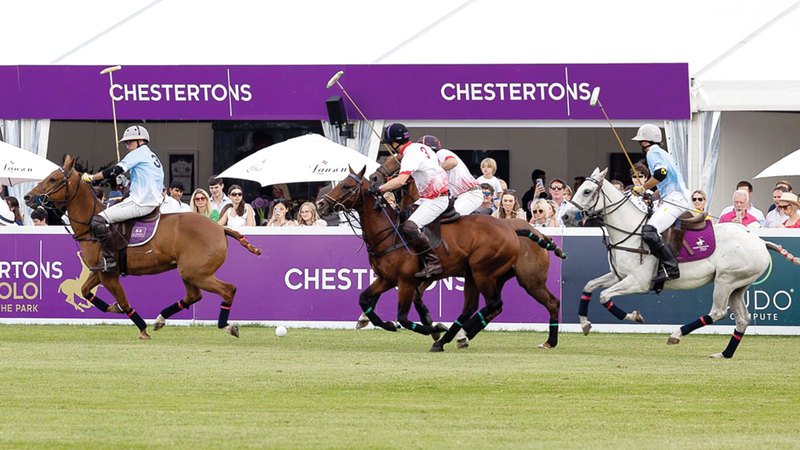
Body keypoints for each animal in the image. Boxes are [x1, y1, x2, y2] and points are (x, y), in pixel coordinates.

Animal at [24, 155, 262, 339]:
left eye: (53, 179)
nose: (27, 197)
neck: (91, 224)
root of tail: (220, 229)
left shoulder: (109, 275)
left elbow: (124, 301)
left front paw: (141, 328)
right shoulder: (100, 271)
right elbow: (84, 291)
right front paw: (112, 308)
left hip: (197, 272)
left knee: (228, 289)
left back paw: (226, 325)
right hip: (190, 272)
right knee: (194, 296)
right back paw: (160, 319)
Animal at [317, 165, 564, 352]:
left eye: (347, 186)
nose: (320, 204)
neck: (390, 233)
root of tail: (515, 230)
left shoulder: (407, 281)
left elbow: (403, 316)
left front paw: (434, 328)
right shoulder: (386, 279)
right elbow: (365, 299)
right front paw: (384, 323)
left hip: (501, 274)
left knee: (516, 303)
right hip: (483, 275)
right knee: (480, 306)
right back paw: (455, 337)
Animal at [560, 167, 800, 358]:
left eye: (587, 191)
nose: (565, 217)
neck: (630, 231)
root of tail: (760, 242)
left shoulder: (638, 282)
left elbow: (604, 296)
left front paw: (634, 316)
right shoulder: (618, 276)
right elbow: (589, 286)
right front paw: (585, 324)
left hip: (726, 280)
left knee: (718, 312)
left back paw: (676, 334)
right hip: (739, 287)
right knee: (742, 319)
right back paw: (724, 354)